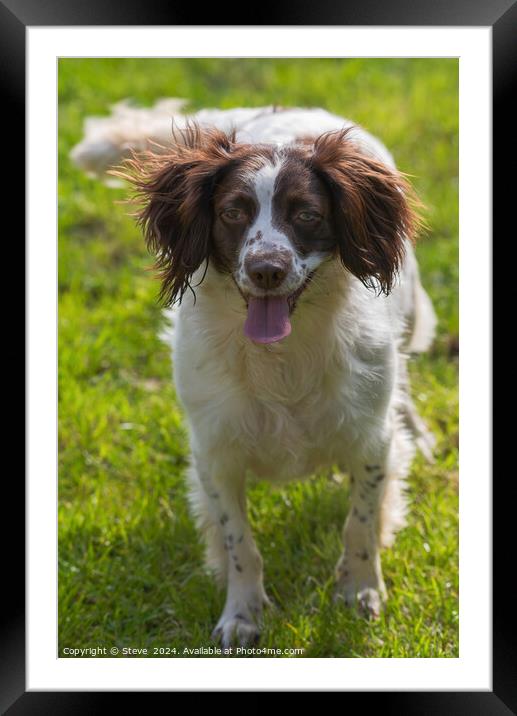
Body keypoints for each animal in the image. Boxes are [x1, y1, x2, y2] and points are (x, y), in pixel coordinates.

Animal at [71, 102, 436, 648]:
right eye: (232, 213)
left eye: (307, 214)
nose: (267, 269)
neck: (280, 357)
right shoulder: (215, 452)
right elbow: (239, 541)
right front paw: (242, 614)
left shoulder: (371, 439)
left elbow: (361, 523)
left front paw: (359, 590)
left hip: (408, 309)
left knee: (405, 378)